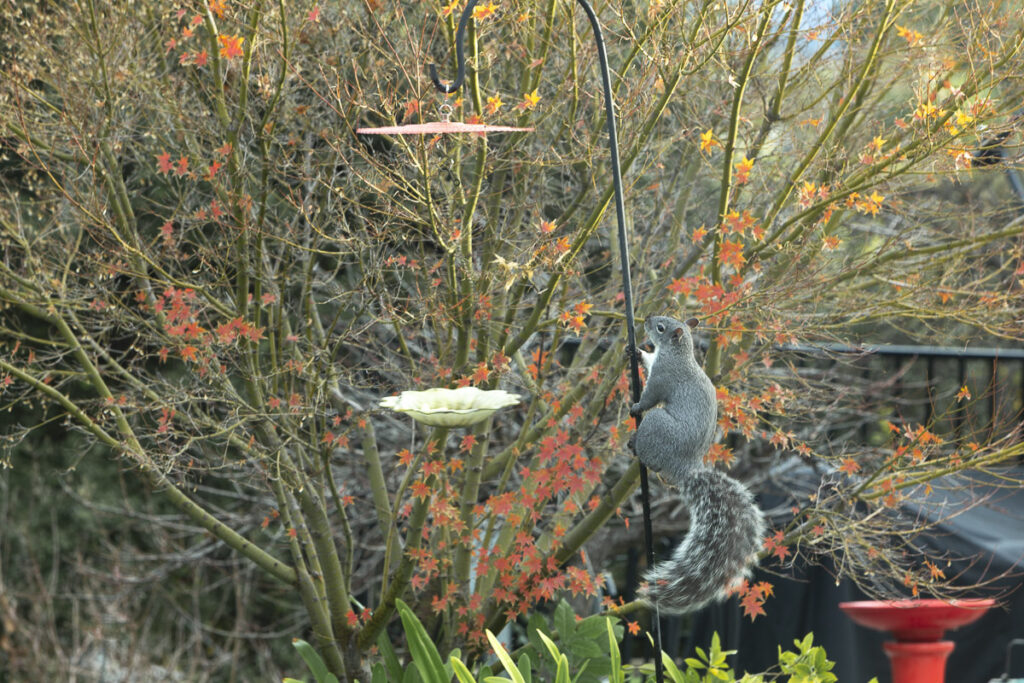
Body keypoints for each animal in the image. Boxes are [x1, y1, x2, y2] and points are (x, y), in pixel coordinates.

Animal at [627, 315, 765, 614]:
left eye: (660, 328)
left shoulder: (662, 378)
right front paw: (638, 353)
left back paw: (635, 444)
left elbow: (650, 396)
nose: (647, 319)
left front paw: (635, 406)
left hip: (657, 424)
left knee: (650, 451)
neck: (678, 353)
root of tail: (685, 469)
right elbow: (648, 361)